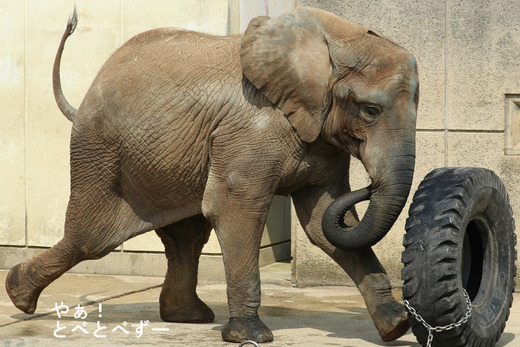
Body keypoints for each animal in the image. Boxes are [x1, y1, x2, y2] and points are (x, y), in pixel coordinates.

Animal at [5, 6, 418, 344]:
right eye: (370, 111)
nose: (367, 186)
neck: (332, 39)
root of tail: (88, 93)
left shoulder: (317, 136)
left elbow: (323, 223)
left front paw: (396, 327)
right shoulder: (250, 131)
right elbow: (238, 210)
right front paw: (250, 336)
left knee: (185, 237)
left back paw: (188, 317)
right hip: (99, 150)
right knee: (91, 238)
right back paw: (18, 295)